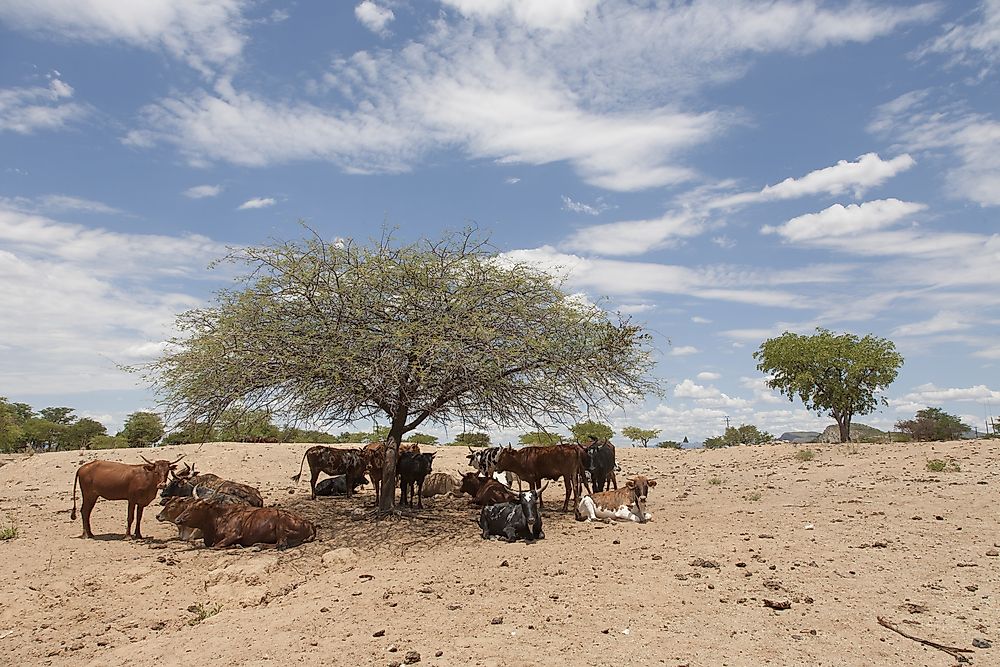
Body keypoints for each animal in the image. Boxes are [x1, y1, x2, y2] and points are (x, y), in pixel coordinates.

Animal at [170, 500, 314, 548]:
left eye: (196, 508)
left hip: (281, 525)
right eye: (187, 506)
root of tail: (309, 523)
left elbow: (216, 546)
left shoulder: (234, 534)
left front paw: (235, 546)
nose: (178, 519)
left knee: (281, 544)